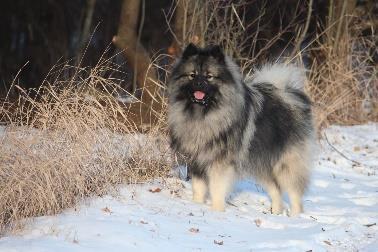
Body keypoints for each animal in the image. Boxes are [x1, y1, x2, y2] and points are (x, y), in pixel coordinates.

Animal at [168, 43, 314, 217]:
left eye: (209, 76)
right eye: (192, 75)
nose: (199, 84)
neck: (202, 113)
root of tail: (287, 94)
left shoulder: (220, 163)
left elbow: (217, 188)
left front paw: (216, 211)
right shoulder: (197, 162)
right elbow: (198, 188)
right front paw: (196, 205)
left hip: (286, 164)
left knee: (294, 193)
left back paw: (295, 217)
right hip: (262, 163)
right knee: (276, 190)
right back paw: (277, 213)